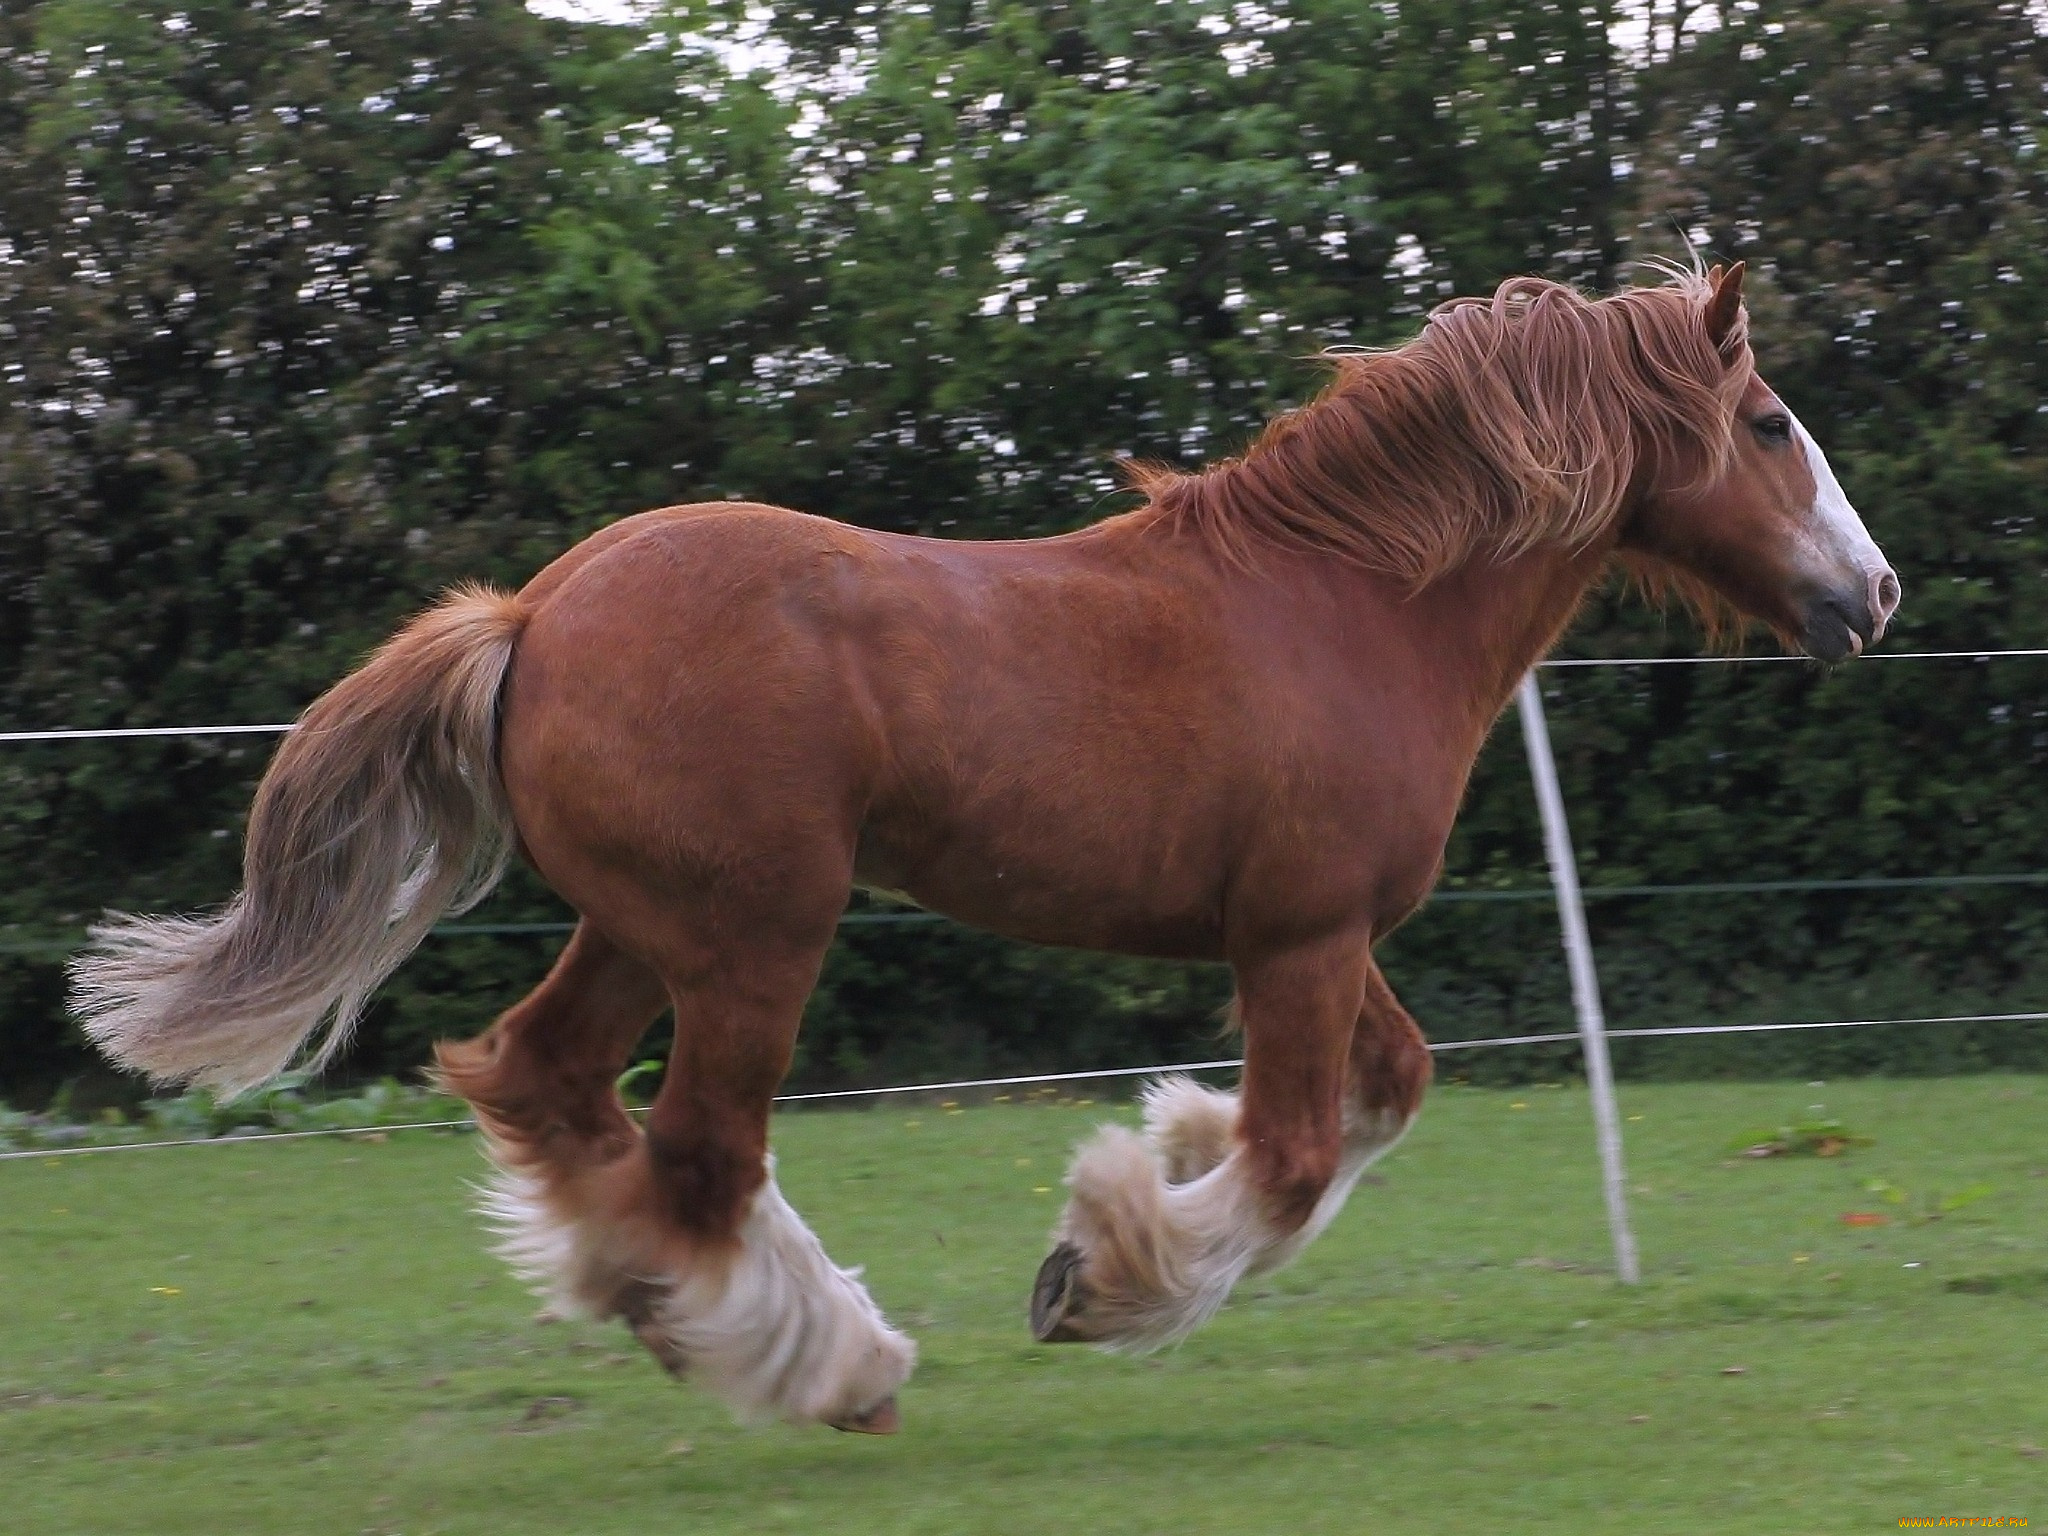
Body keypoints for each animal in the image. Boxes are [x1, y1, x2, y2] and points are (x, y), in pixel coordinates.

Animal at [75, 262, 1900, 1433]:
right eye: (1764, 421)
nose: (1870, 595)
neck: (1349, 606)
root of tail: (534, 610)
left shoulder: (1318, 940)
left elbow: (1384, 1093)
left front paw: (1146, 1165)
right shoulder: (1302, 938)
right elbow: (1297, 1152)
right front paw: (1099, 1277)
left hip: (644, 929)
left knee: (550, 1082)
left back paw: (666, 1306)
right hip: (755, 938)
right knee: (701, 1148)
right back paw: (832, 1368)